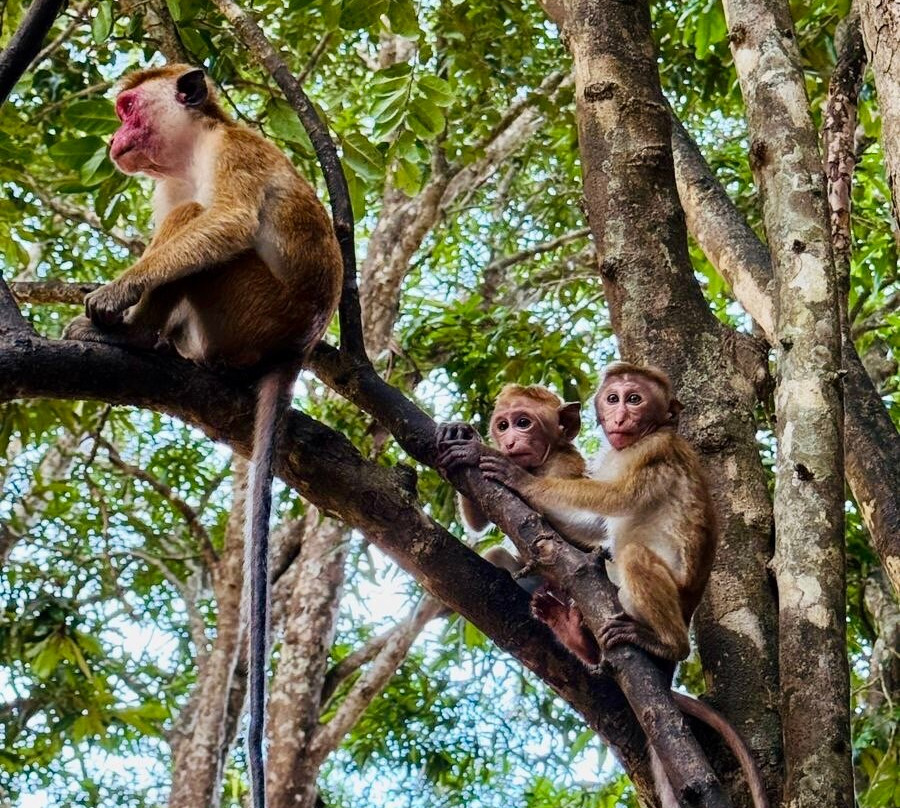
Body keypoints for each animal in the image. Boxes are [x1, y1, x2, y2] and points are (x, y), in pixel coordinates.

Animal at [62, 64, 344, 808]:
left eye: (129, 107)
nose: (116, 136)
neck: (190, 154)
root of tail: (294, 351)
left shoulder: (234, 152)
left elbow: (224, 223)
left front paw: (116, 295)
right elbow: (177, 220)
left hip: (248, 311)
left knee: (197, 230)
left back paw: (131, 336)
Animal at [442, 364, 768, 808]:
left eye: (635, 398)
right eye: (503, 424)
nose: (620, 416)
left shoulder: (649, 450)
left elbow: (615, 498)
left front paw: (509, 472)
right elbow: (584, 523)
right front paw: (463, 435)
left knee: (631, 556)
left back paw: (661, 642)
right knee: (501, 557)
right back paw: (570, 629)